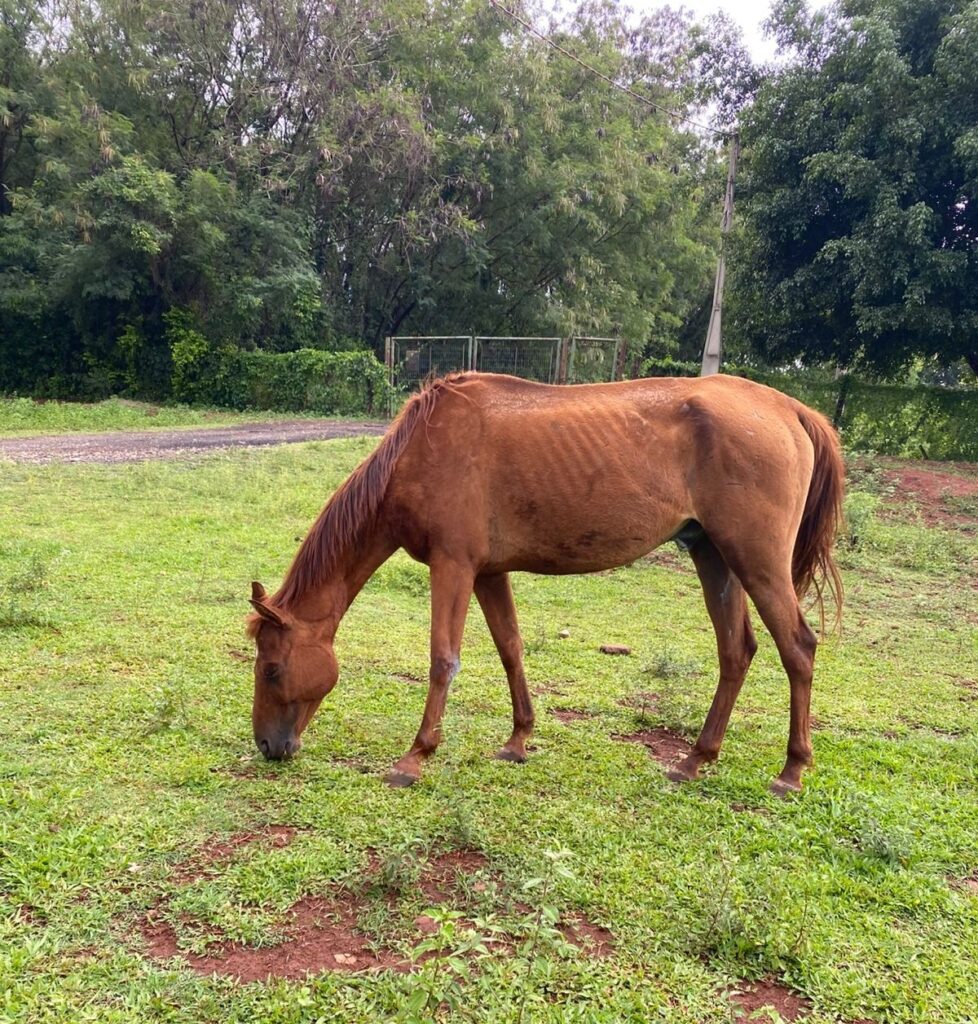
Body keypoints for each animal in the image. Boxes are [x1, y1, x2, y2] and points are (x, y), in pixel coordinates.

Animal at [247, 371, 844, 796]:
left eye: (272, 669)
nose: (268, 745)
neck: (420, 451)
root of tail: (789, 409)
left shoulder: (453, 565)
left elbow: (443, 659)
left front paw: (416, 756)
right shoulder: (488, 572)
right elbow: (510, 649)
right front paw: (518, 739)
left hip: (756, 560)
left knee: (798, 648)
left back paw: (791, 770)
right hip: (714, 556)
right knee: (736, 651)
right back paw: (696, 759)